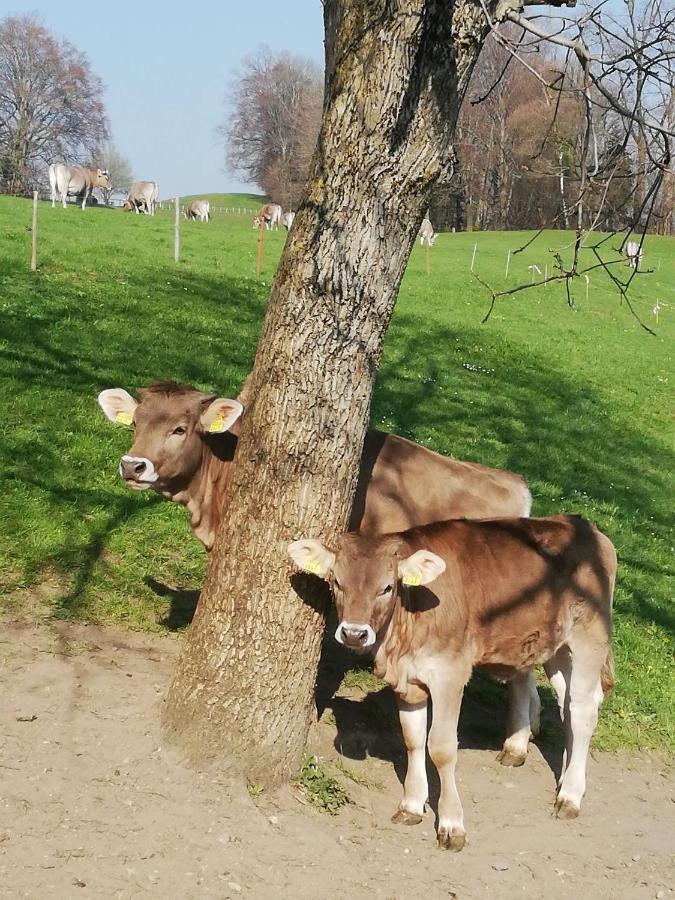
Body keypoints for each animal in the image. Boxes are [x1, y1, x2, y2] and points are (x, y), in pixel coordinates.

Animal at [288, 512, 616, 852]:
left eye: (387, 587)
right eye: (337, 582)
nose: (354, 633)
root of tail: (581, 524)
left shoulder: (450, 674)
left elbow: (442, 748)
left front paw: (451, 824)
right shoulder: (409, 679)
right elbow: (413, 739)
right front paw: (411, 804)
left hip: (589, 638)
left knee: (583, 711)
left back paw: (570, 796)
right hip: (556, 648)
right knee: (568, 705)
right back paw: (562, 775)